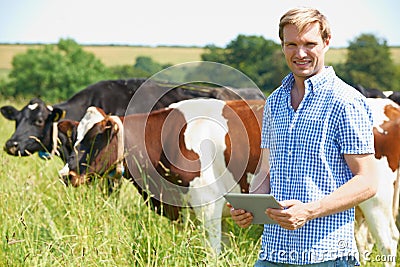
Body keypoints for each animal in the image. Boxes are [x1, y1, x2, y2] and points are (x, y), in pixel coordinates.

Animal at [57, 98, 398, 262]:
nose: (66, 175)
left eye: (93, 140)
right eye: (73, 139)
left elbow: (212, 250)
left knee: (387, 242)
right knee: (362, 244)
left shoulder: (207, 206)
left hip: (377, 199)